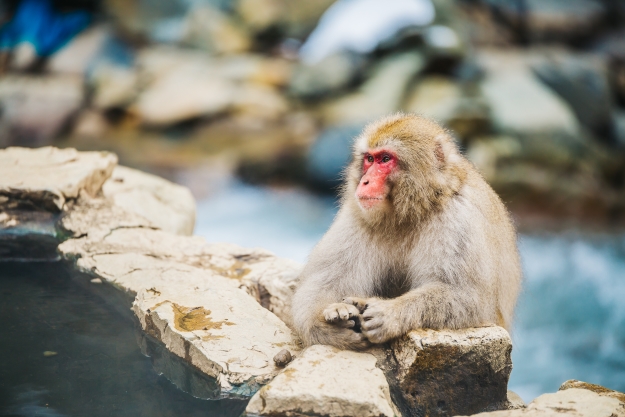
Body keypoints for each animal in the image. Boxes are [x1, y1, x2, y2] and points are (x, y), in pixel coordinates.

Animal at [292, 113, 520, 348]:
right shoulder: (357, 217)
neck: (412, 211)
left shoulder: (459, 221)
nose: (365, 181)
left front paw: (389, 313)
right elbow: (323, 282)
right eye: (369, 159)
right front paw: (327, 324)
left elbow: (469, 298)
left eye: (385, 159)